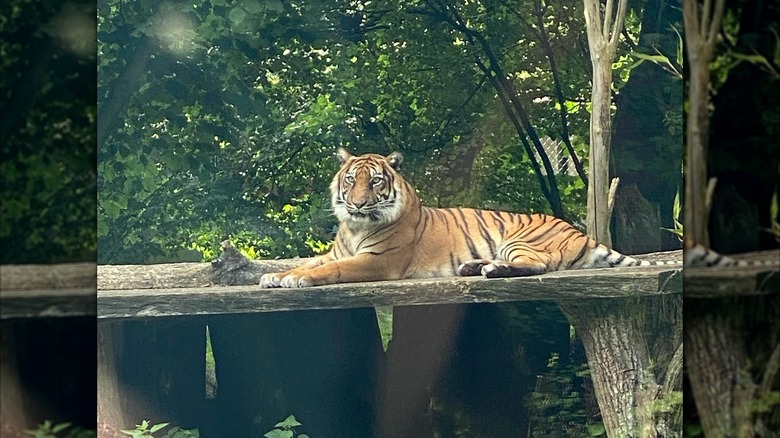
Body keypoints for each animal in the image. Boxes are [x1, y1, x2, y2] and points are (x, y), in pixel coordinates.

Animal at [260, 149, 676, 290]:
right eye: (351, 180)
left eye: (375, 181)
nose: (358, 204)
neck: (356, 225)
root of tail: (579, 232)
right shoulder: (335, 251)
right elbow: (308, 261)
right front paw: (273, 275)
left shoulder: (379, 261)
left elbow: (330, 270)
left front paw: (294, 279)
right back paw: (473, 266)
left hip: (520, 239)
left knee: (538, 266)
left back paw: (489, 270)